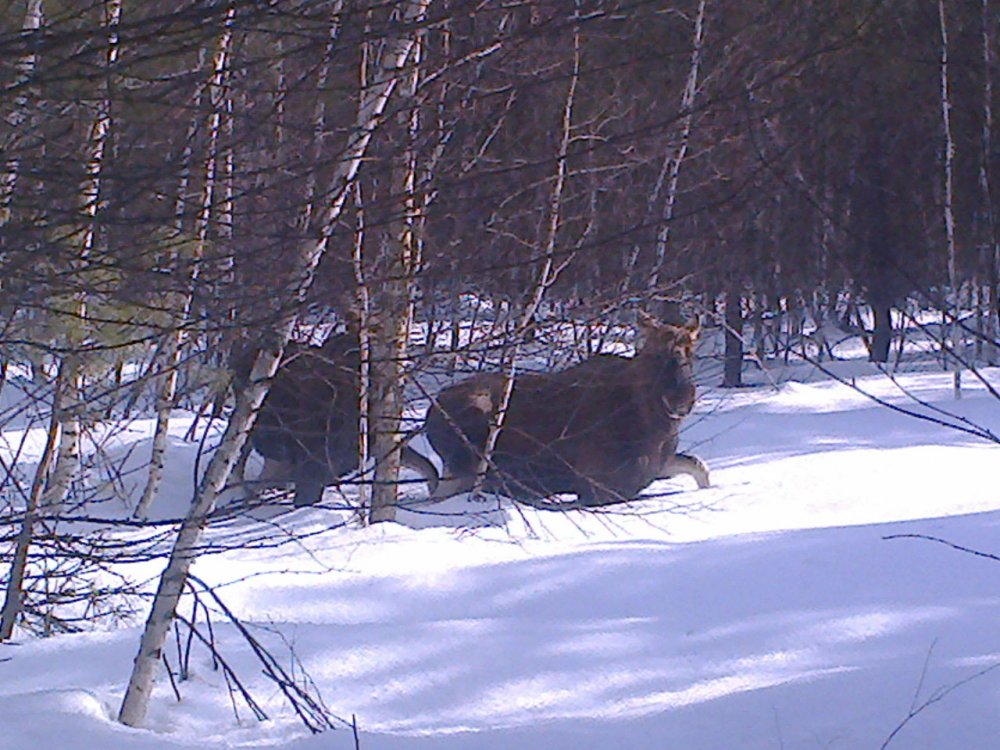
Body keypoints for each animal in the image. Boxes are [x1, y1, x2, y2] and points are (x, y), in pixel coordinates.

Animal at [424, 314, 712, 508]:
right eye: (655, 356)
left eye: (692, 355)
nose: (681, 400)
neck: (654, 429)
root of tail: (431, 412)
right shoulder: (597, 488)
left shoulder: (655, 468)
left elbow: (699, 466)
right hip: (463, 464)